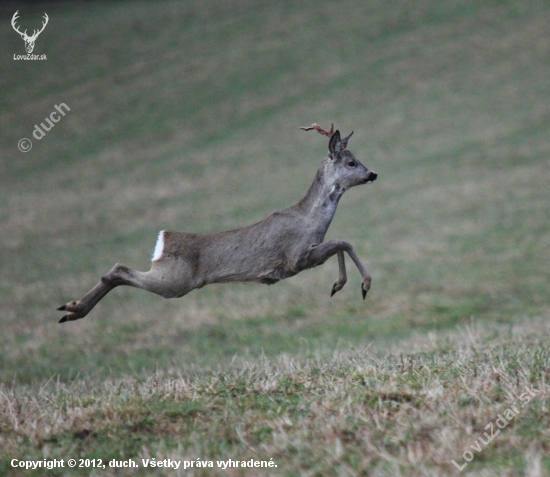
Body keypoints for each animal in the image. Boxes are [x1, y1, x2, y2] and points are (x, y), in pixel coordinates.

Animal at [59, 124, 380, 322]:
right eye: (351, 162)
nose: (373, 174)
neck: (310, 220)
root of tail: (164, 238)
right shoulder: (295, 258)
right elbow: (342, 241)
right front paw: (361, 285)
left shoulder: (307, 256)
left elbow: (340, 243)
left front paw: (339, 285)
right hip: (175, 281)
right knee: (119, 270)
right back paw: (73, 308)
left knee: (117, 272)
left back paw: (70, 310)